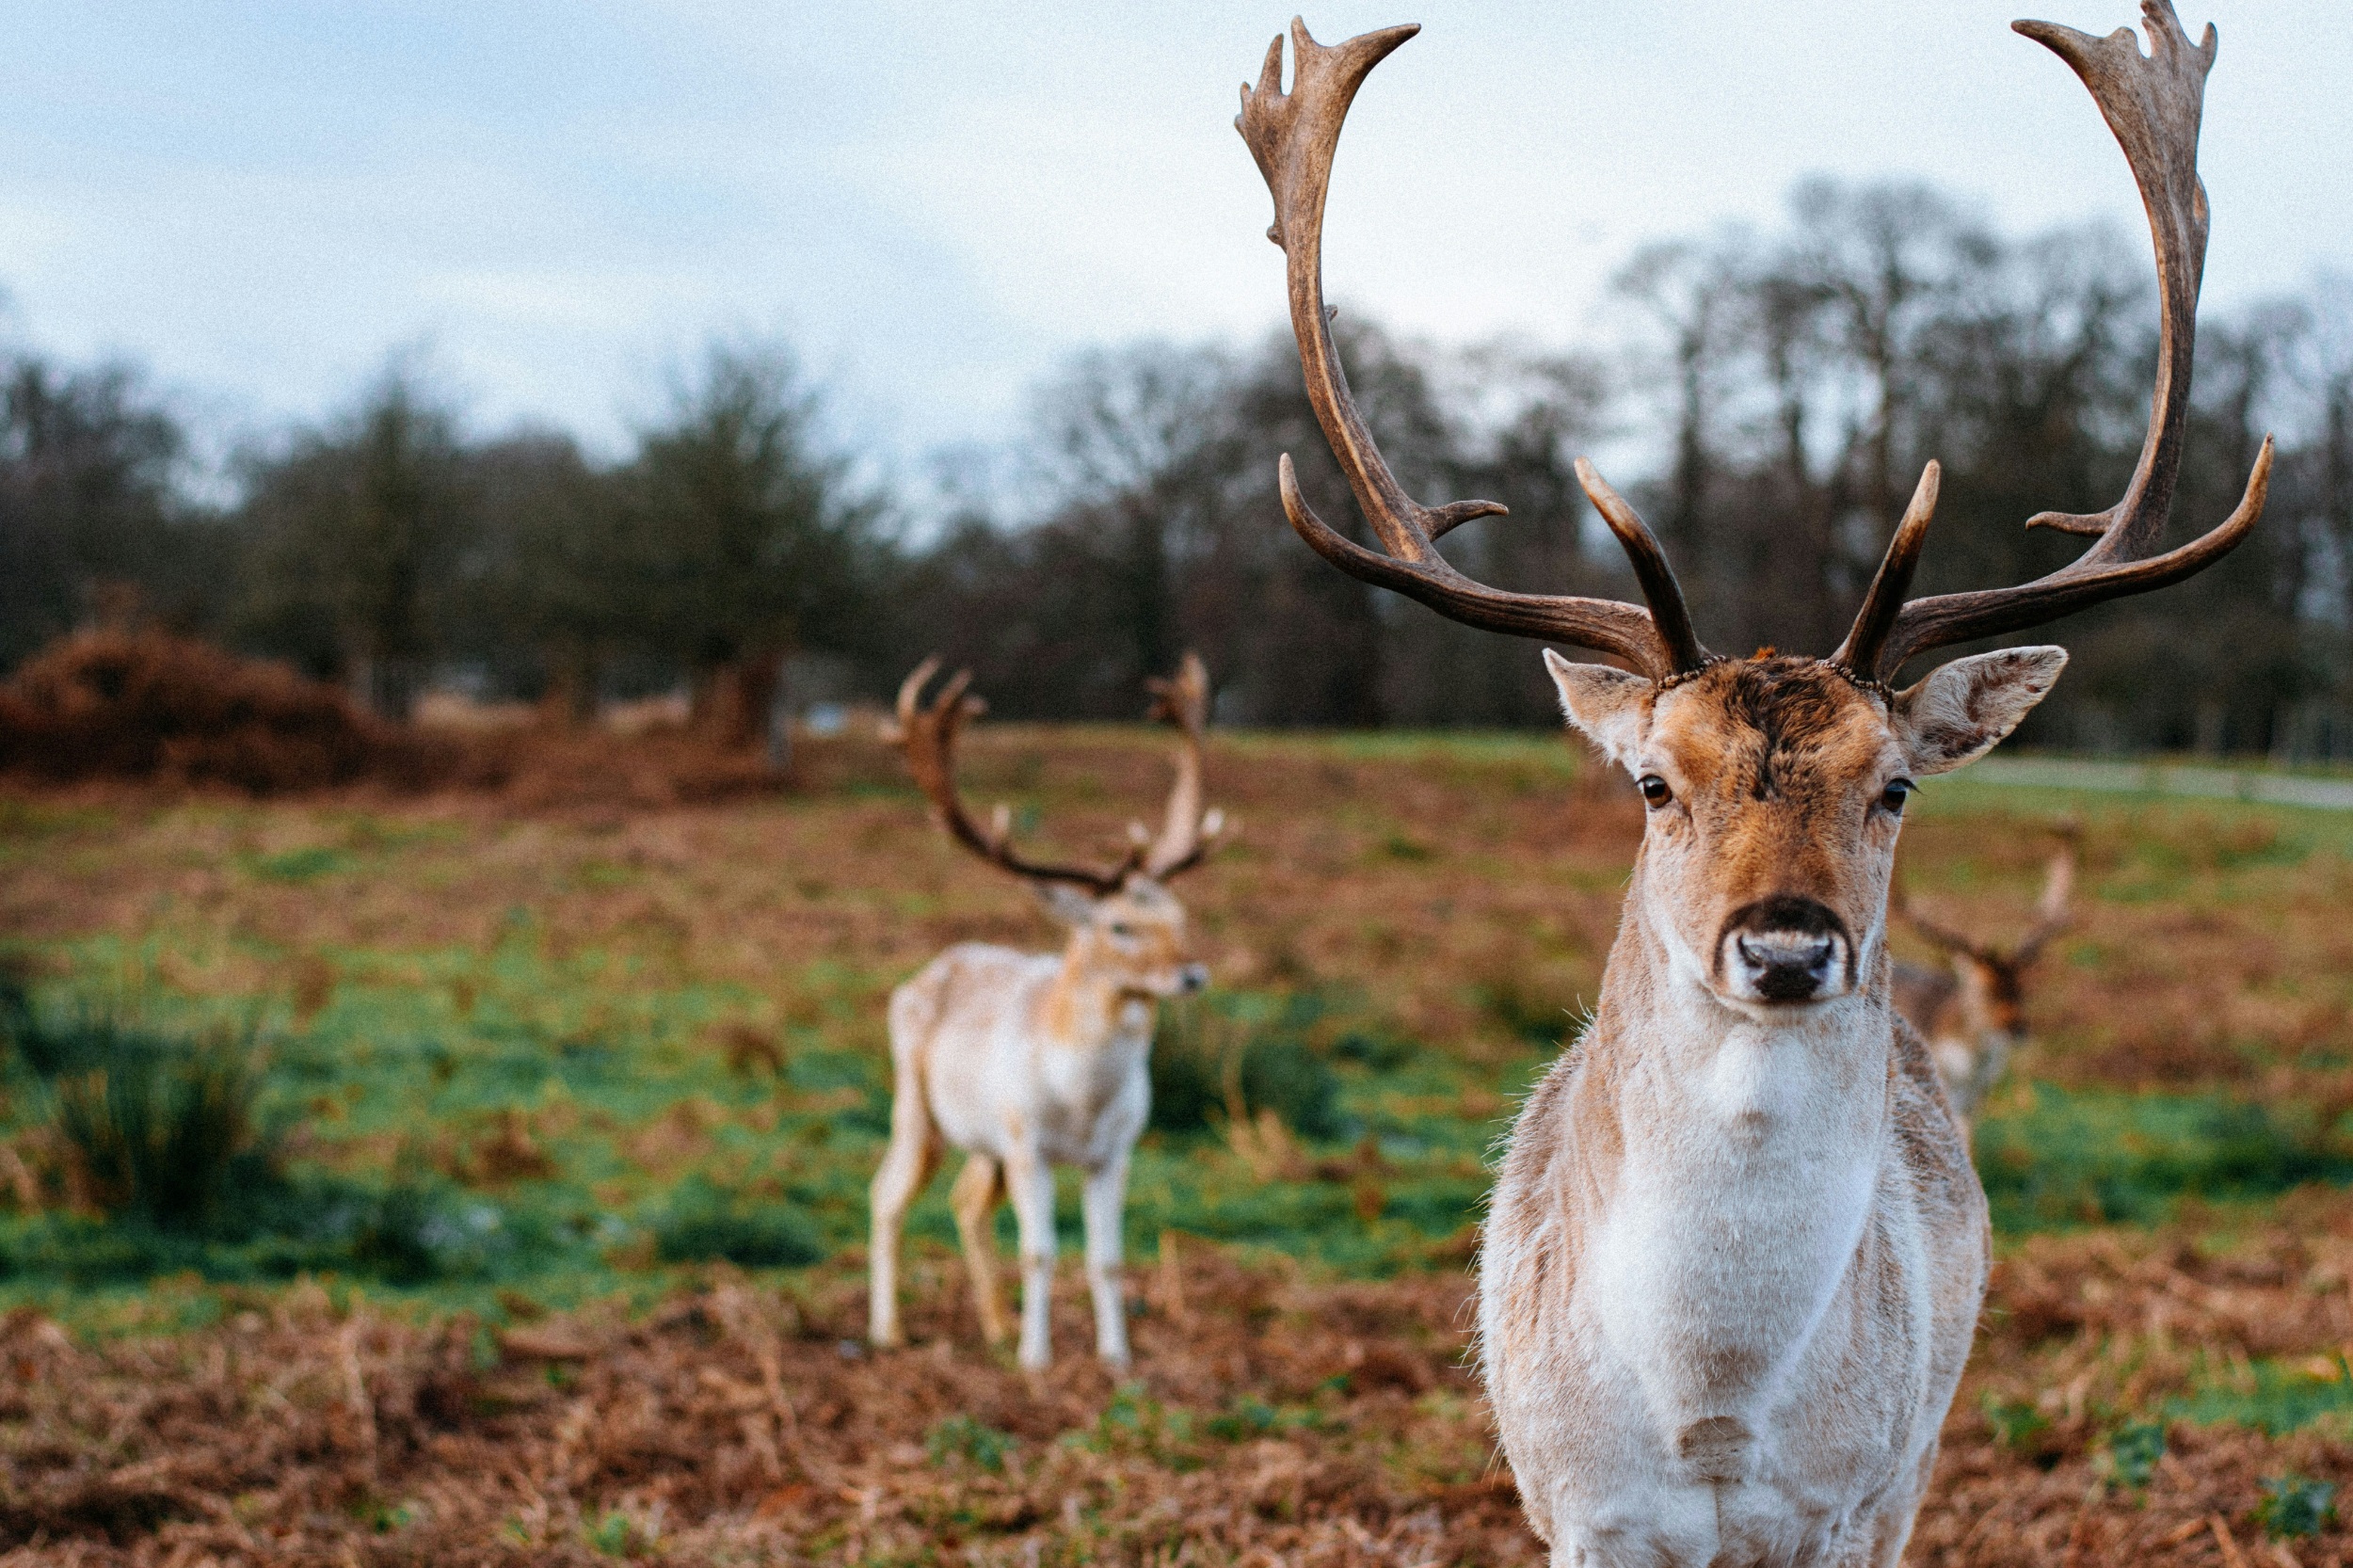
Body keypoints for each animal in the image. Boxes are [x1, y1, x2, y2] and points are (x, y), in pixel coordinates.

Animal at [871, 654, 1233, 1365]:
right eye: (1119, 926)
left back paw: (994, 1324)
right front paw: (1036, 1361)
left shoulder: (1116, 1150)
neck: (1079, 1102)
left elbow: (1106, 1258)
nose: (1192, 974)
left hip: (987, 1144)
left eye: (1179, 917)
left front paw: (1115, 1358)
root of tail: (928, 970)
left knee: (966, 1200)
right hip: (921, 1108)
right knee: (888, 1193)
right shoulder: (1027, 1142)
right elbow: (1040, 1252)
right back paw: (888, 1332)